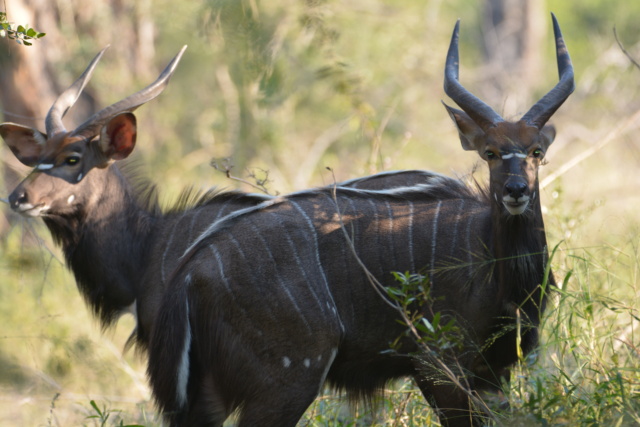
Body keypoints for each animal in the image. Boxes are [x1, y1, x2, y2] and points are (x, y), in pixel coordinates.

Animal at [3, 13, 576, 427]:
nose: (19, 197)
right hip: (279, 383)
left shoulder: (467, 372)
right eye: (490, 152)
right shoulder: (449, 370)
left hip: (277, 383)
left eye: (73, 158)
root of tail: (194, 272)